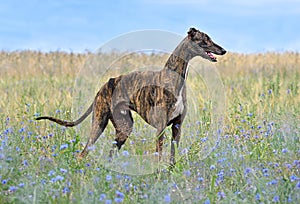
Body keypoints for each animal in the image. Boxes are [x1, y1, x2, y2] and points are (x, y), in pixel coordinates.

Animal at [36, 27, 225, 165]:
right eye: (205, 40)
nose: (223, 50)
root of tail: (103, 86)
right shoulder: (161, 128)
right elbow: (158, 156)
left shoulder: (176, 127)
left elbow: (172, 158)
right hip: (100, 123)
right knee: (83, 153)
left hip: (123, 128)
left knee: (110, 152)